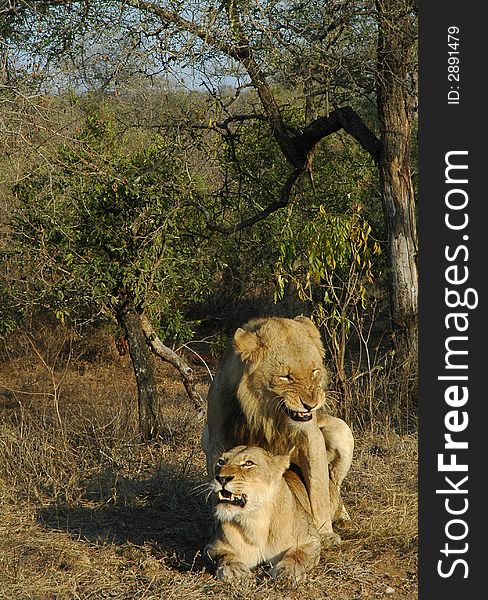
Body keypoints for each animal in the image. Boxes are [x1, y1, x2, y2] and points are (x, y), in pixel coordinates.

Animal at [202, 316, 354, 540]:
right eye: (286, 377)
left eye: (314, 372)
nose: (311, 404)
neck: (267, 414)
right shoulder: (216, 440)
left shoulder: (311, 438)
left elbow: (319, 492)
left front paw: (325, 533)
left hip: (341, 431)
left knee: (334, 485)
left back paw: (343, 517)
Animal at [206, 446, 344, 580]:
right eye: (221, 462)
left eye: (248, 463)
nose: (221, 478)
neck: (256, 518)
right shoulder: (213, 546)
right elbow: (224, 555)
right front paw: (233, 570)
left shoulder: (310, 540)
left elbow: (297, 554)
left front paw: (287, 571)